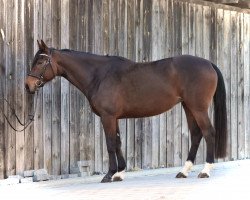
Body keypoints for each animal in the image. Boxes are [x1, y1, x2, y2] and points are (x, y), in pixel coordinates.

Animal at [24, 40, 227, 183]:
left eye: (41, 61)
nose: (28, 86)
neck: (99, 75)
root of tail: (208, 63)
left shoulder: (107, 117)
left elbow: (110, 143)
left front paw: (109, 175)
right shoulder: (114, 118)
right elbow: (118, 142)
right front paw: (119, 173)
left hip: (198, 107)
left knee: (208, 132)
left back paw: (205, 170)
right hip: (188, 107)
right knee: (196, 134)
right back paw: (184, 171)